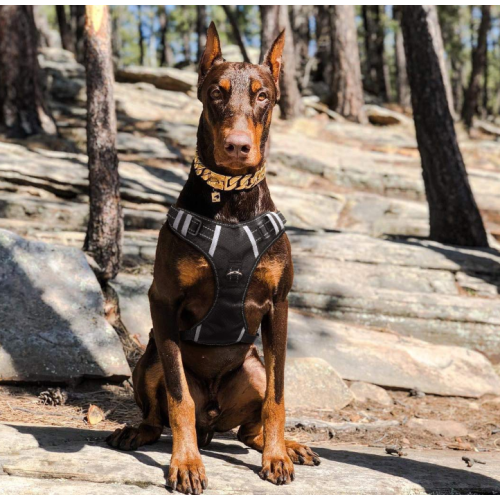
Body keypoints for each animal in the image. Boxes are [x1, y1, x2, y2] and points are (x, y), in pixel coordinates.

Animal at [108, 22, 320, 492]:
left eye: (263, 95)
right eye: (216, 93)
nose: (237, 147)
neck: (231, 201)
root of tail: (212, 422)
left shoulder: (279, 303)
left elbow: (278, 396)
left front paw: (278, 456)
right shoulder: (163, 300)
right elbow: (179, 397)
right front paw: (186, 462)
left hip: (253, 367)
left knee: (249, 428)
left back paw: (285, 445)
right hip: (150, 358)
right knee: (161, 412)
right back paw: (139, 432)